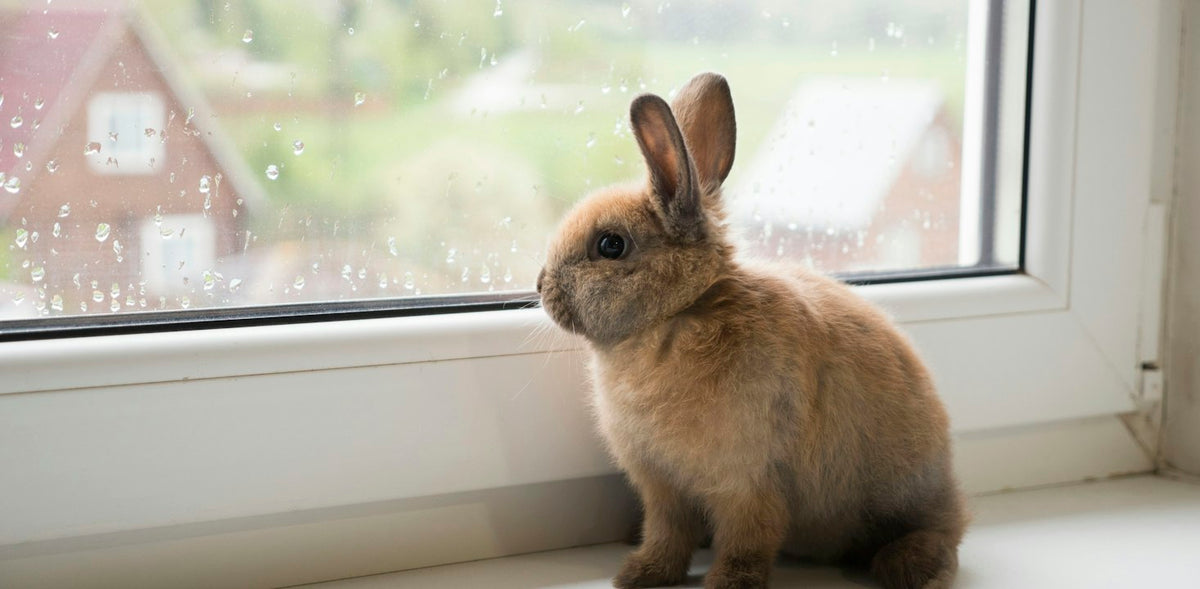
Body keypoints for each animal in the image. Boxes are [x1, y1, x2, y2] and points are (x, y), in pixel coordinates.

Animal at [536, 72, 965, 589]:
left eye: (611, 245)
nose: (540, 285)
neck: (679, 313)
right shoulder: (663, 489)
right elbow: (666, 534)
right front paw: (641, 574)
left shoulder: (747, 483)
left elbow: (749, 539)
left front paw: (728, 583)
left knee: (942, 537)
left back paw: (910, 566)